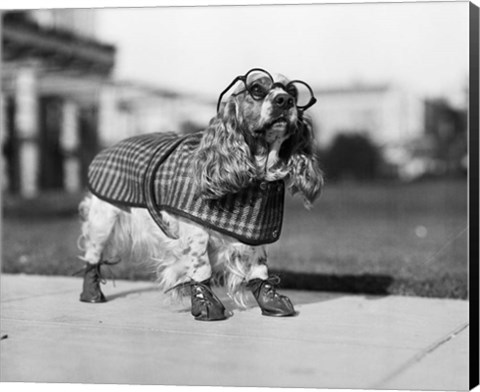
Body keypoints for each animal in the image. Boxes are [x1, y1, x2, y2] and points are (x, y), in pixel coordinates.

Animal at [78, 69, 322, 320]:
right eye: (256, 88)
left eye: (293, 91)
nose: (285, 100)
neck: (256, 176)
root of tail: (108, 148)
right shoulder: (196, 232)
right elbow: (201, 267)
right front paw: (207, 305)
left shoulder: (256, 236)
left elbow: (259, 270)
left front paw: (272, 301)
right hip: (103, 220)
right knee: (92, 257)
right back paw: (92, 294)